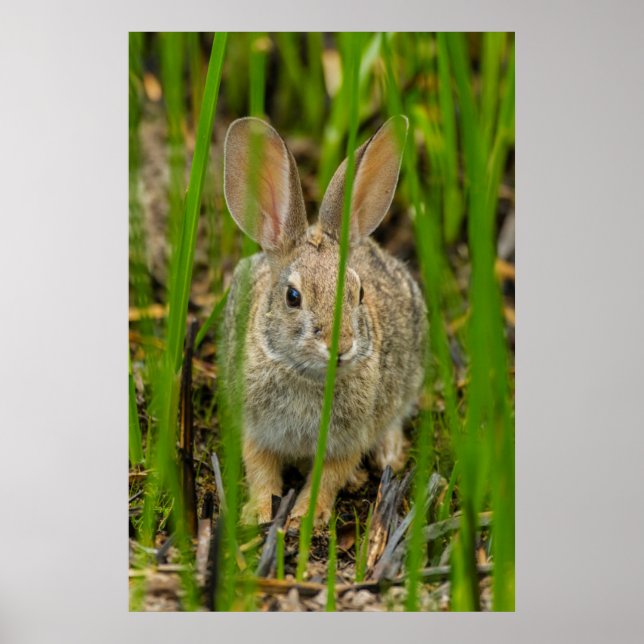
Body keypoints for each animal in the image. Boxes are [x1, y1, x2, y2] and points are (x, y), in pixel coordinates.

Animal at [221, 115, 427, 527]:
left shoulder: (348, 438)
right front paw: (258, 513)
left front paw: (305, 519)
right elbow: (260, 469)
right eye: (293, 297)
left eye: (359, 293)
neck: (308, 375)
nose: (341, 346)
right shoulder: (256, 428)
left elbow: (329, 476)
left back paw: (389, 454)